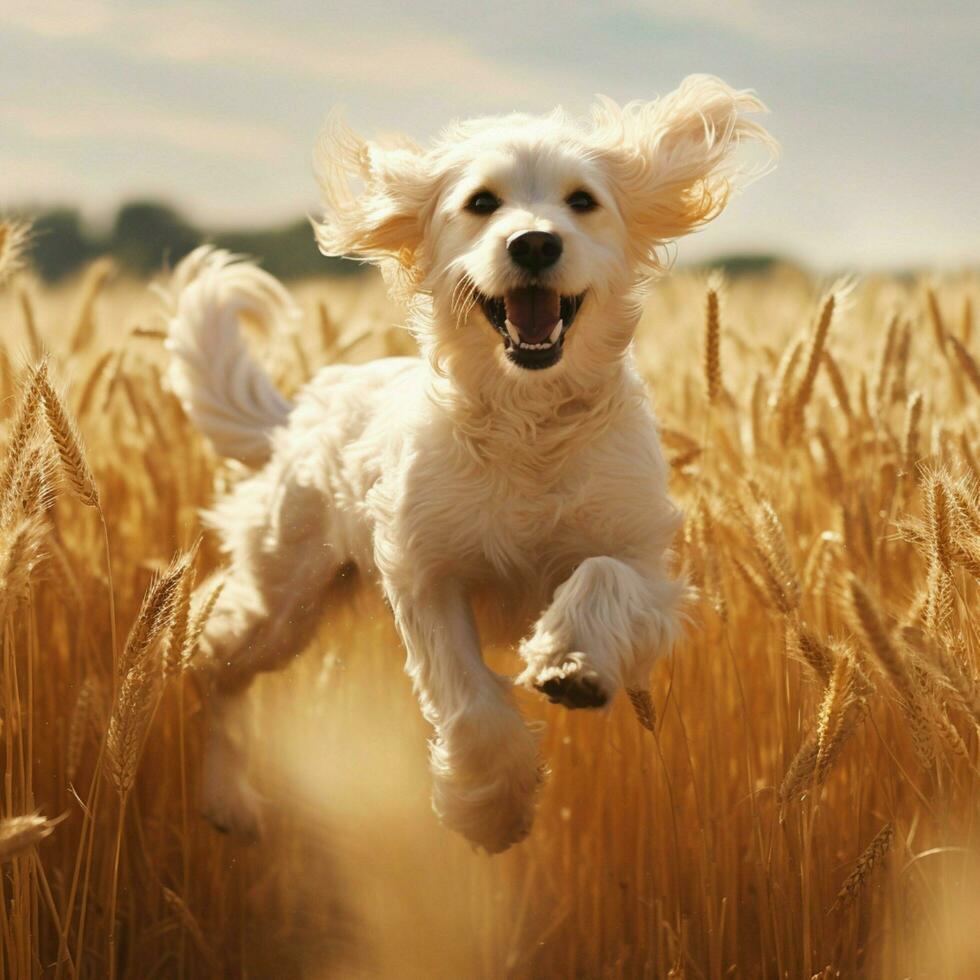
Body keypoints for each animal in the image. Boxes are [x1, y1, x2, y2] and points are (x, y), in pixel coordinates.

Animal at [165, 72, 776, 852]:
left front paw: (570, 661)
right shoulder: (426, 573)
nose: (535, 242)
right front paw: (493, 807)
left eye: (582, 200)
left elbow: (600, 577)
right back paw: (227, 795)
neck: (528, 422)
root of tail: (301, 410)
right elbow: (470, 701)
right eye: (482, 202)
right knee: (210, 662)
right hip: (284, 598)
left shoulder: (646, 564)